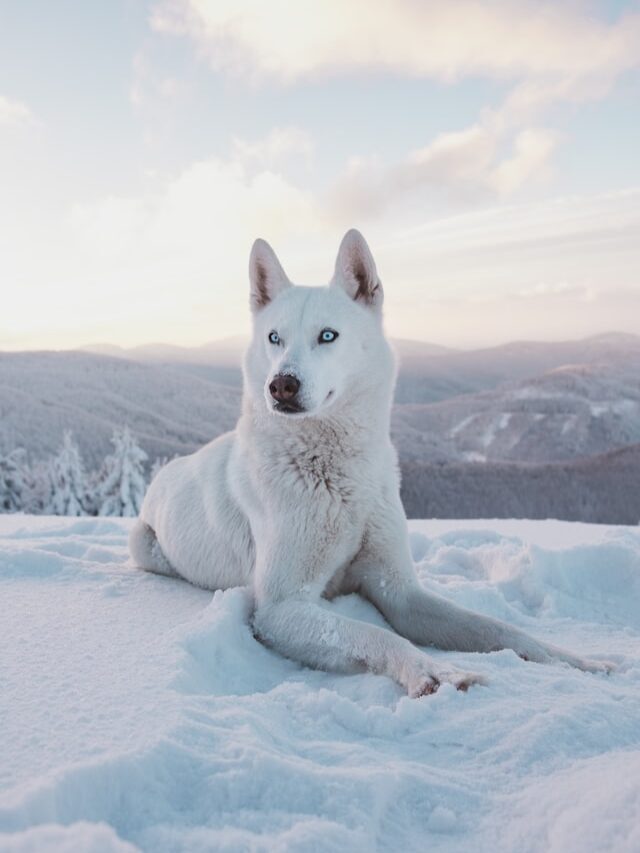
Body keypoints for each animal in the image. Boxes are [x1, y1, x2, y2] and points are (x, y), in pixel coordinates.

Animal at [129, 230, 608, 696]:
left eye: (327, 335)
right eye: (274, 338)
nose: (281, 385)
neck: (338, 477)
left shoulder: (400, 591)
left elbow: (497, 628)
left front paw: (575, 661)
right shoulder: (282, 607)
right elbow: (376, 635)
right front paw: (434, 672)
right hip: (145, 546)